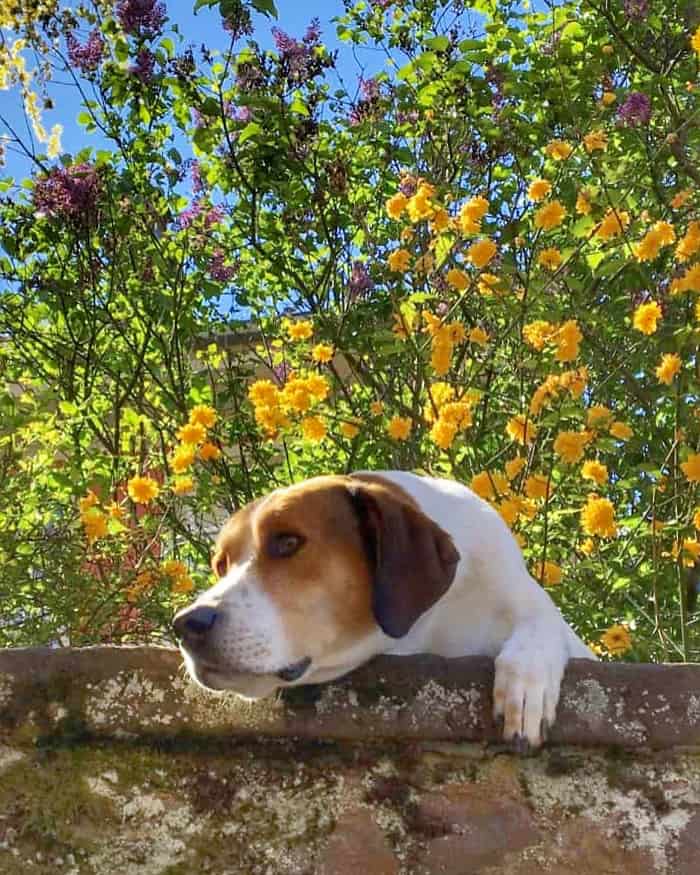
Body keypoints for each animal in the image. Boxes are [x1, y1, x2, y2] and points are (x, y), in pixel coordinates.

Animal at [172, 472, 592, 744]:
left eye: (288, 542)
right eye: (221, 564)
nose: (186, 624)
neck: (432, 625)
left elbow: (539, 627)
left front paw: (526, 687)